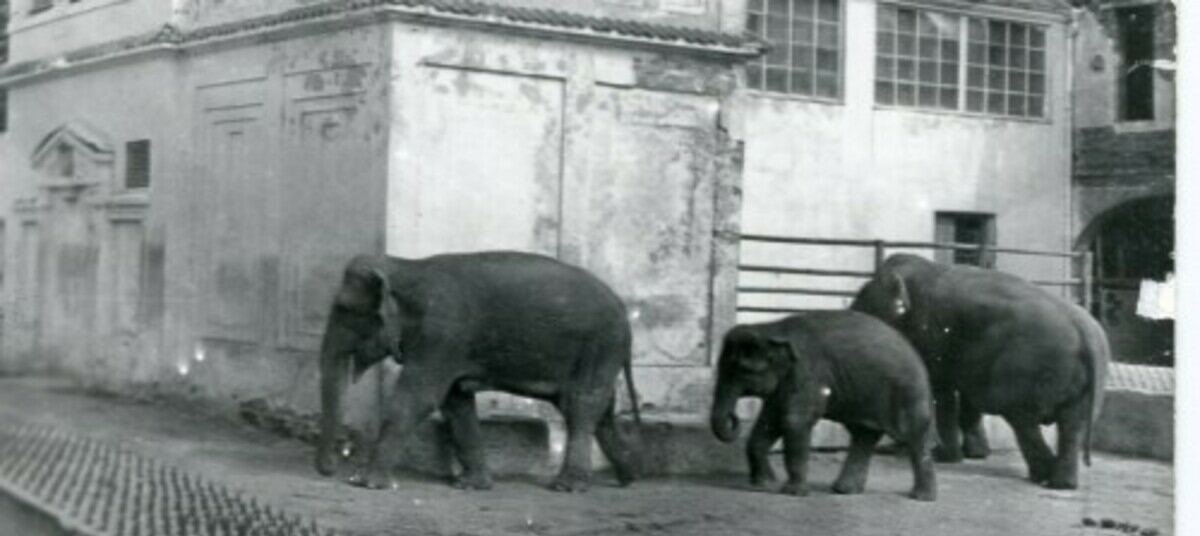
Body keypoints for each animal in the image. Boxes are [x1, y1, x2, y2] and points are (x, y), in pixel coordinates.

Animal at [314, 251, 643, 494]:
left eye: (346, 310)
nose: (329, 470)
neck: (405, 266)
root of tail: (623, 310)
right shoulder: (447, 347)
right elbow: (455, 402)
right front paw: (471, 485)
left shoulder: (442, 335)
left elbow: (418, 398)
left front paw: (365, 483)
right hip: (601, 352)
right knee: (601, 412)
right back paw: (627, 476)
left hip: (600, 345)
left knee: (581, 406)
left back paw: (568, 487)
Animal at [710, 311, 936, 503]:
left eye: (743, 370)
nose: (734, 418)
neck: (771, 328)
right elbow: (770, 420)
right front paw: (763, 484)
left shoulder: (808, 373)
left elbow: (793, 421)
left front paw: (793, 493)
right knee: (864, 434)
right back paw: (844, 490)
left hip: (908, 394)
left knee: (914, 437)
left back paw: (922, 497)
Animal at [849, 253, 1108, 491]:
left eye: (863, 302)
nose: (889, 448)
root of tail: (1085, 332)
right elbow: (966, 397)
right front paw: (976, 454)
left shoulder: (931, 334)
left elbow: (942, 392)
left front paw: (946, 456)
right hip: (1079, 383)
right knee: (1071, 425)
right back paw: (1060, 483)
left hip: (1031, 370)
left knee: (1023, 419)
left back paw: (1043, 476)